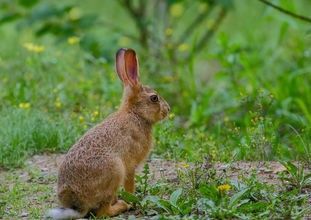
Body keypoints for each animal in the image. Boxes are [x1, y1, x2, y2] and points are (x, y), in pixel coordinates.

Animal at [47, 47, 171, 218]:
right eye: (154, 98)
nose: (168, 110)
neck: (136, 113)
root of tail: (78, 205)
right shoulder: (130, 166)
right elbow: (130, 184)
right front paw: (132, 200)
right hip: (115, 171)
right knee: (102, 212)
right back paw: (122, 205)